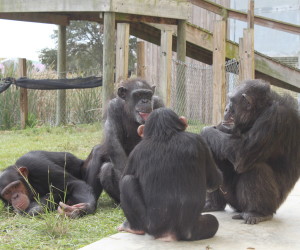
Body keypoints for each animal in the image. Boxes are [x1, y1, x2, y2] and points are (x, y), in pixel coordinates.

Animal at [117, 107, 223, 240]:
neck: (165, 133)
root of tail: (170, 233)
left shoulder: (135, 153)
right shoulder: (200, 142)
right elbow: (214, 179)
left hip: (152, 226)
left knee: (126, 181)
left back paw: (133, 228)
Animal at [200, 79, 300, 225]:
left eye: (231, 101)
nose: (226, 108)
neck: (259, 112)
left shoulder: (275, 117)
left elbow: (242, 153)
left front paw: (205, 131)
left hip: (262, 204)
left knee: (255, 168)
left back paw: (256, 213)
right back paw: (213, 204)